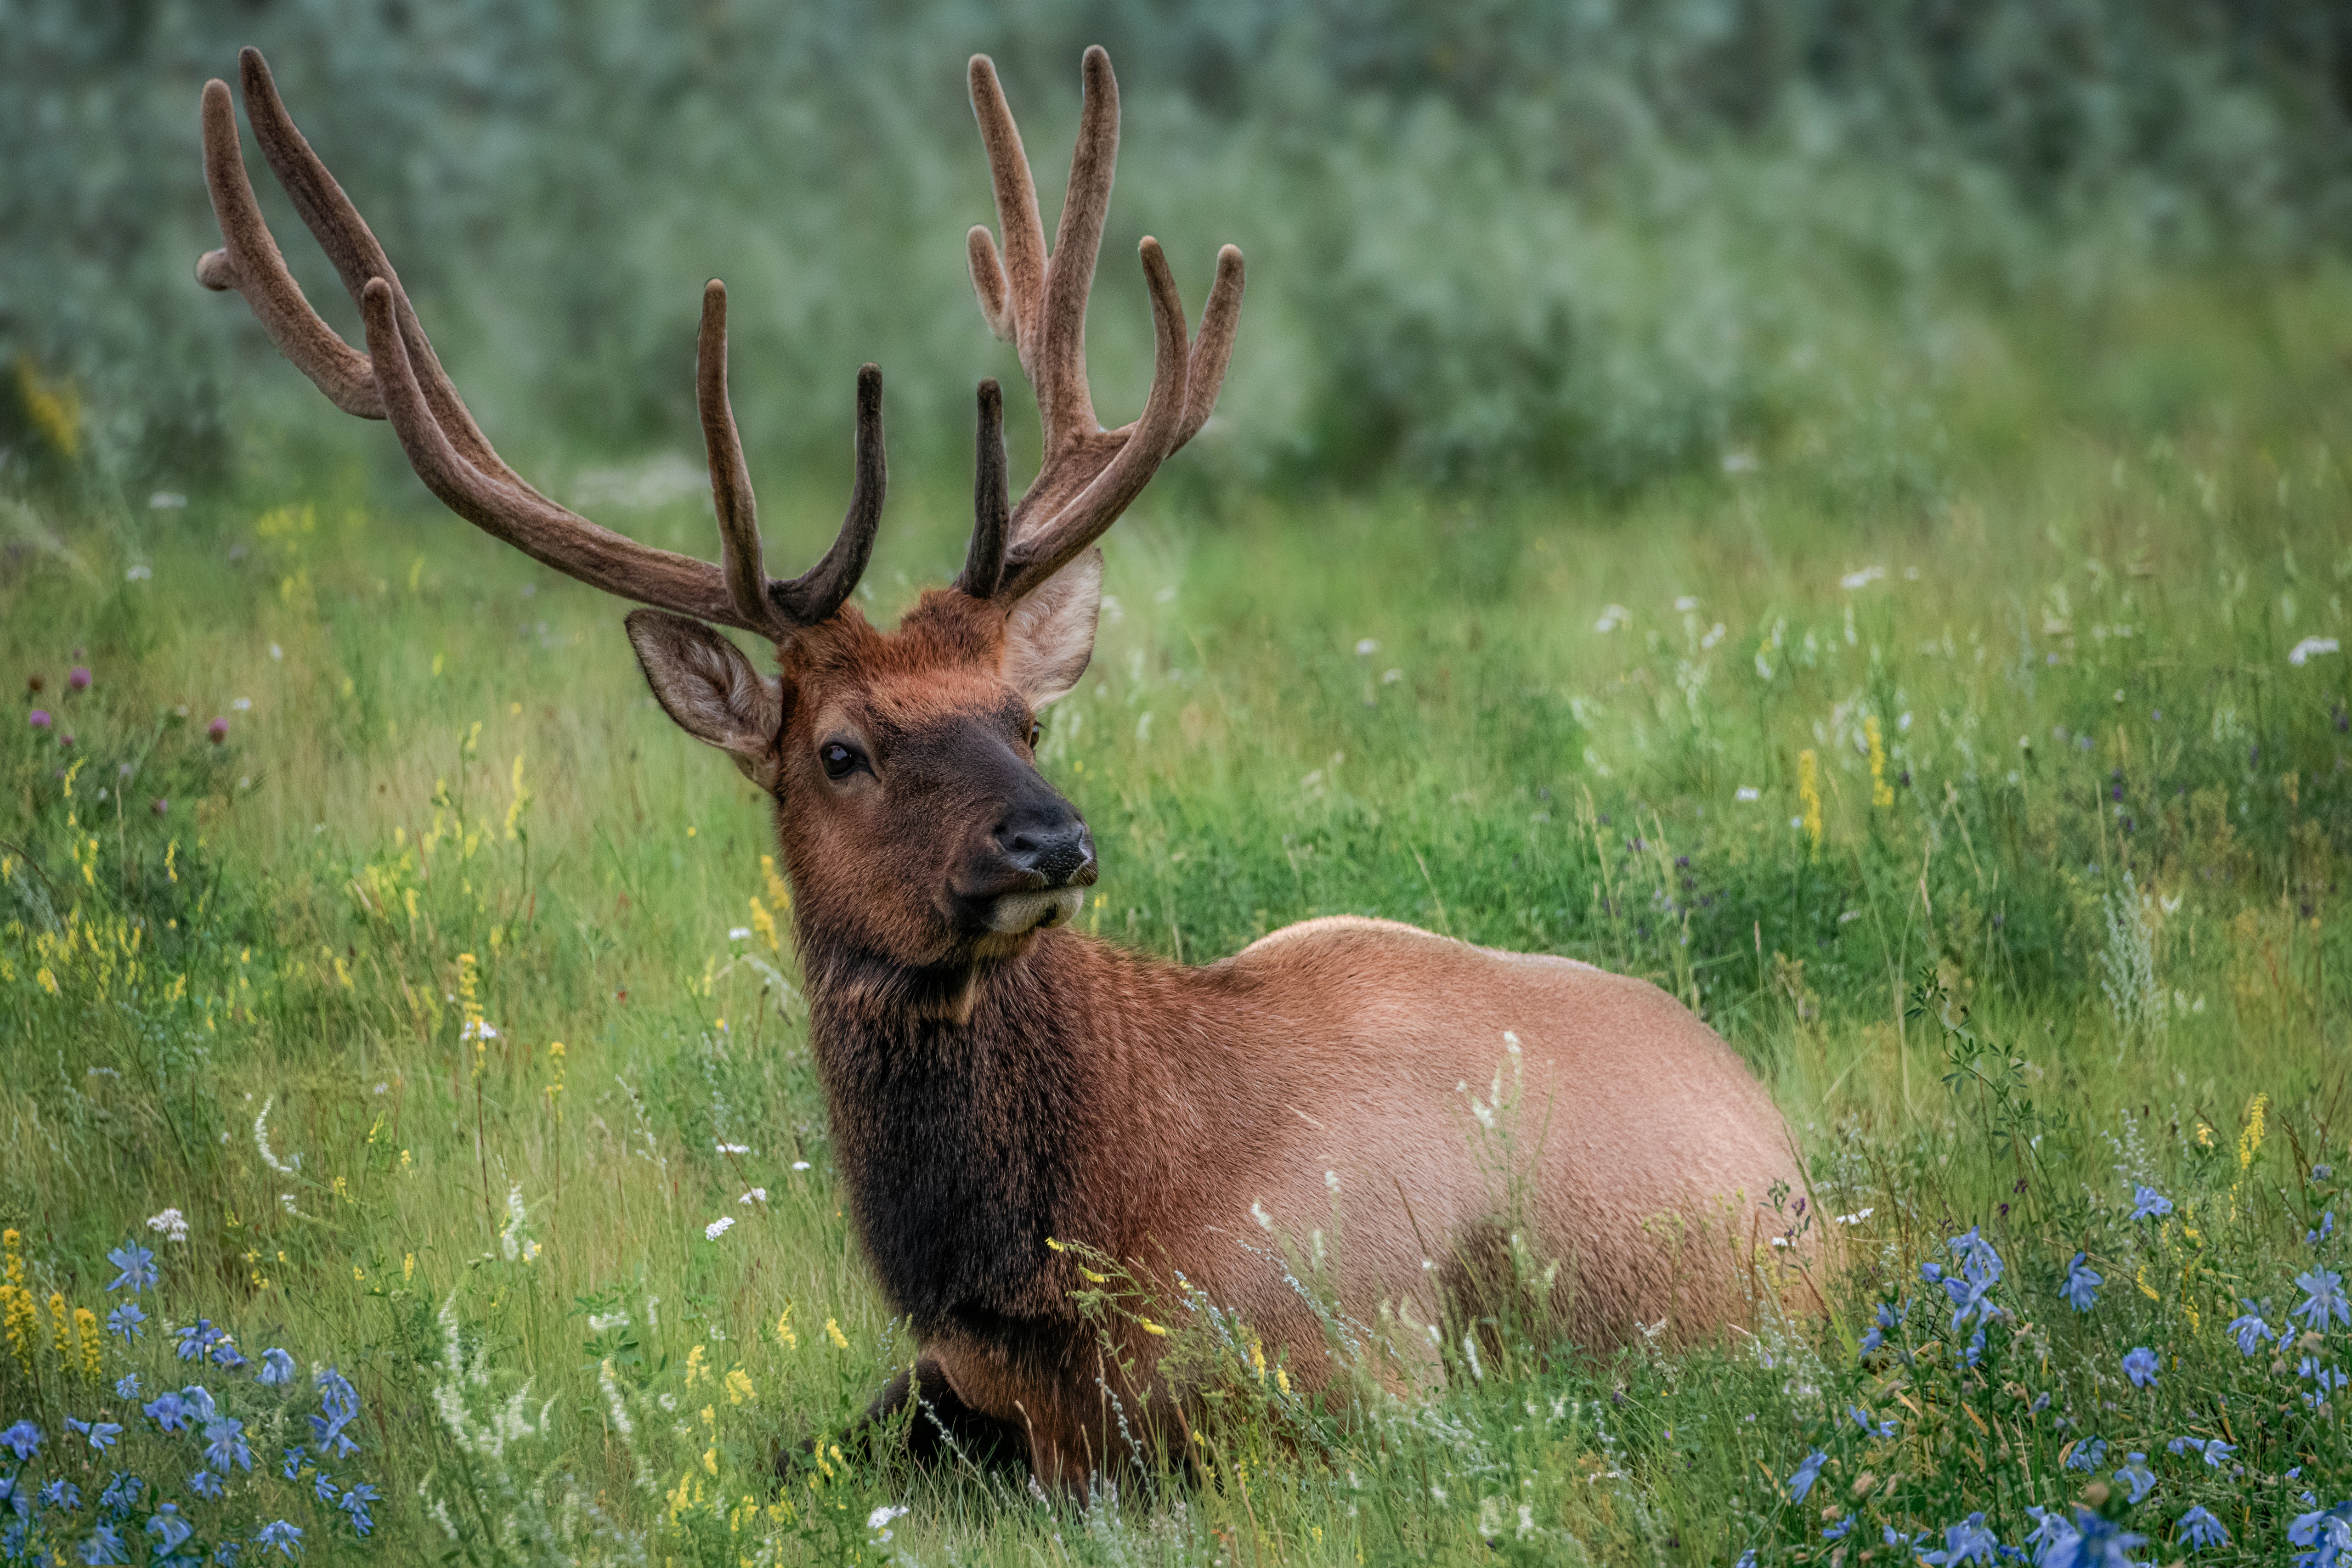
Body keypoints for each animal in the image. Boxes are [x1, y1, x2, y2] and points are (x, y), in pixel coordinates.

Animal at [202, 46, 1815, 1495]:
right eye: (841, 749)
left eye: (1019, 718)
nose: (1052, 843)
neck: (1067, 1262)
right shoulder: (948, 1383)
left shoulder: (1380, 1368)